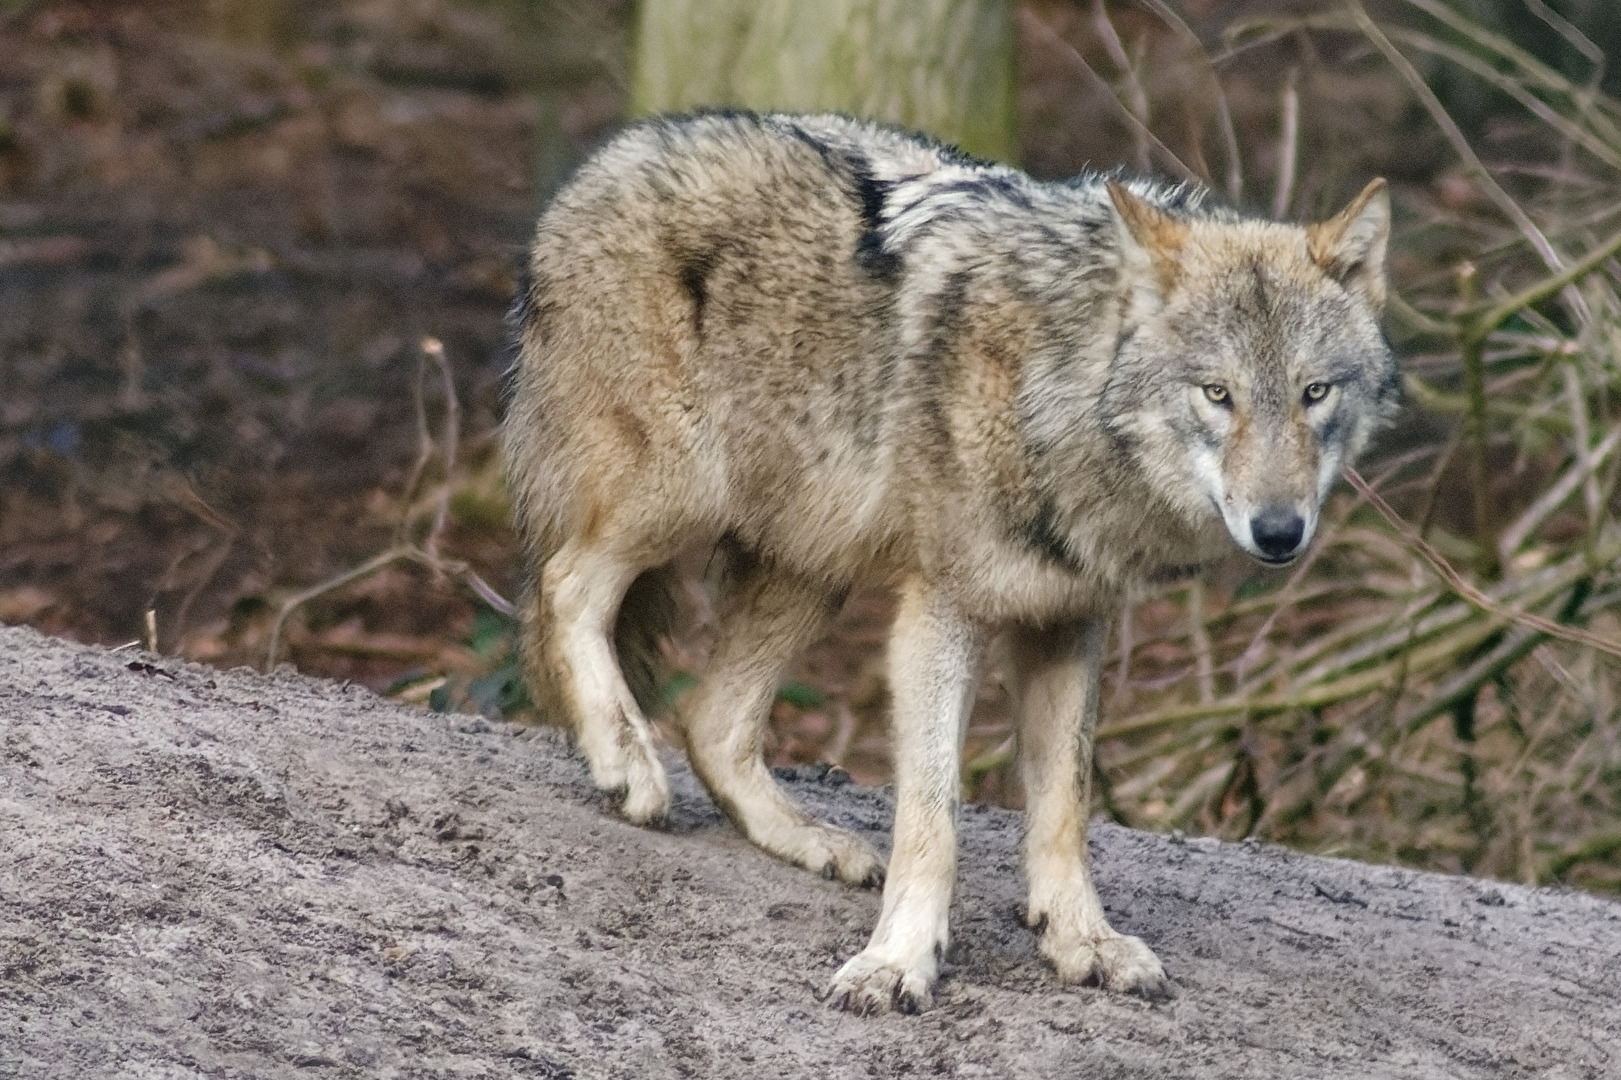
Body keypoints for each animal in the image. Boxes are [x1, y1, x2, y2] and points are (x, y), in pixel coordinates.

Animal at [503, 110, 1396, 1014]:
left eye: (1314, 393)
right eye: (1217, 394)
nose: (1279, 531)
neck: (1054, 396)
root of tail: (608, 158)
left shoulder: (1067, 622)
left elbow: (1063, 809)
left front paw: (1083, 940)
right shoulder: (942, 612)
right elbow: (933, 813)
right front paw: (897, 960)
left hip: (814, 562)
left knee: (712, 721)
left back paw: (808, 839)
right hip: (681, 495)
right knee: (563, 588)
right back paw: (625, 763)